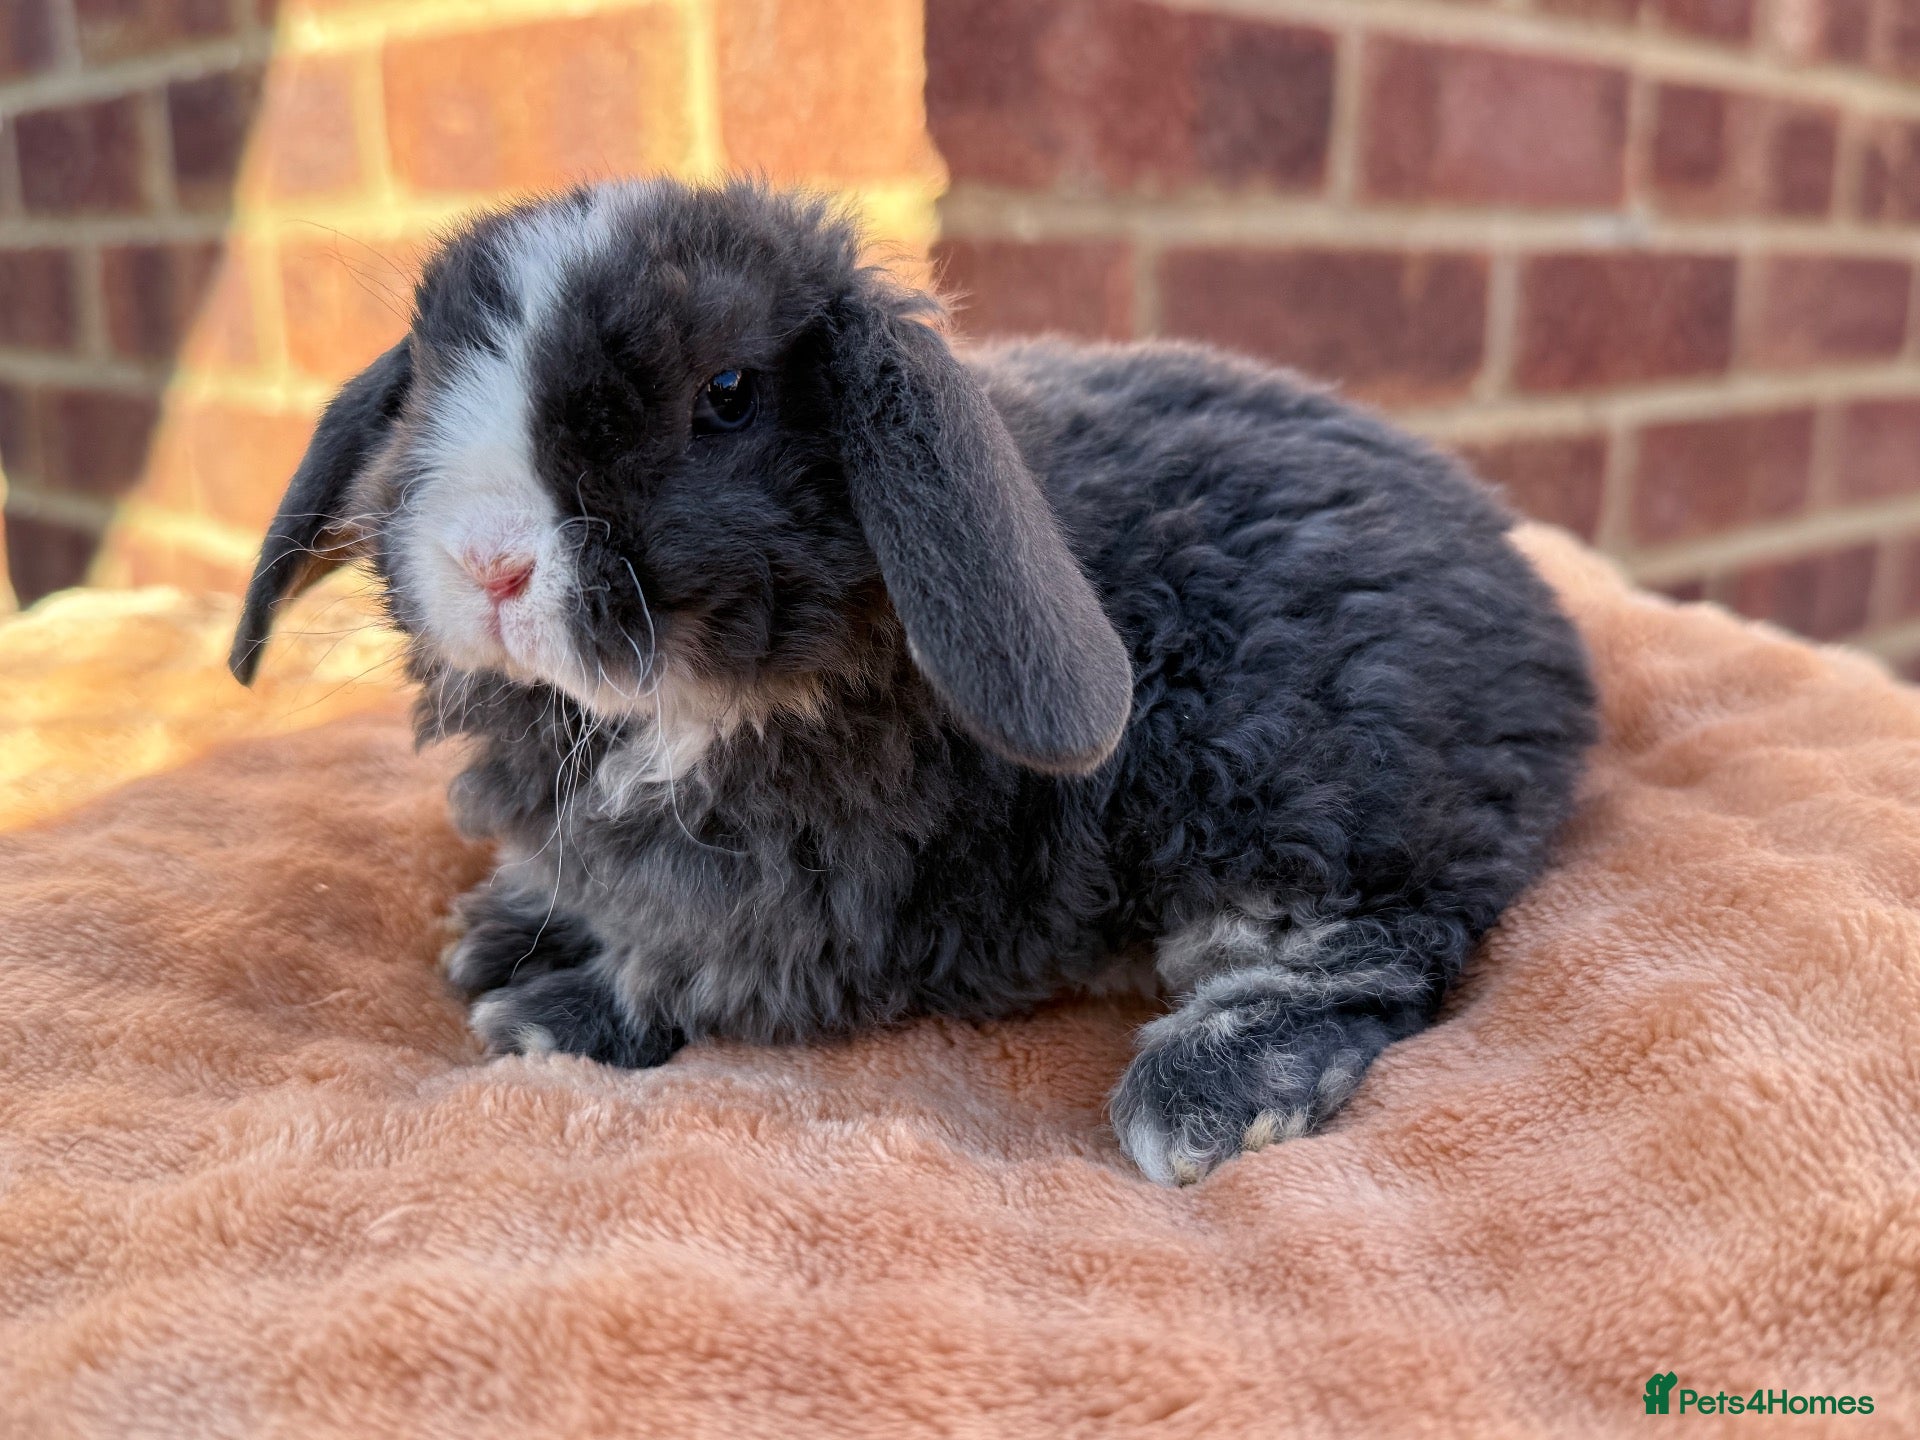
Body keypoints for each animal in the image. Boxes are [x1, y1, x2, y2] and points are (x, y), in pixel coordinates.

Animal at [230, 179, 1597, 1186]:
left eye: (726, 393)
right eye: (428, 377)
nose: (488, 561)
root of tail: (1543, 629)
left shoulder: (805, 905)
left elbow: (695, 970)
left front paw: (546, 1011)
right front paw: (503, 926)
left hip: (1293, 794)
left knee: (1373, 947)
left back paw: (1203, 1097)